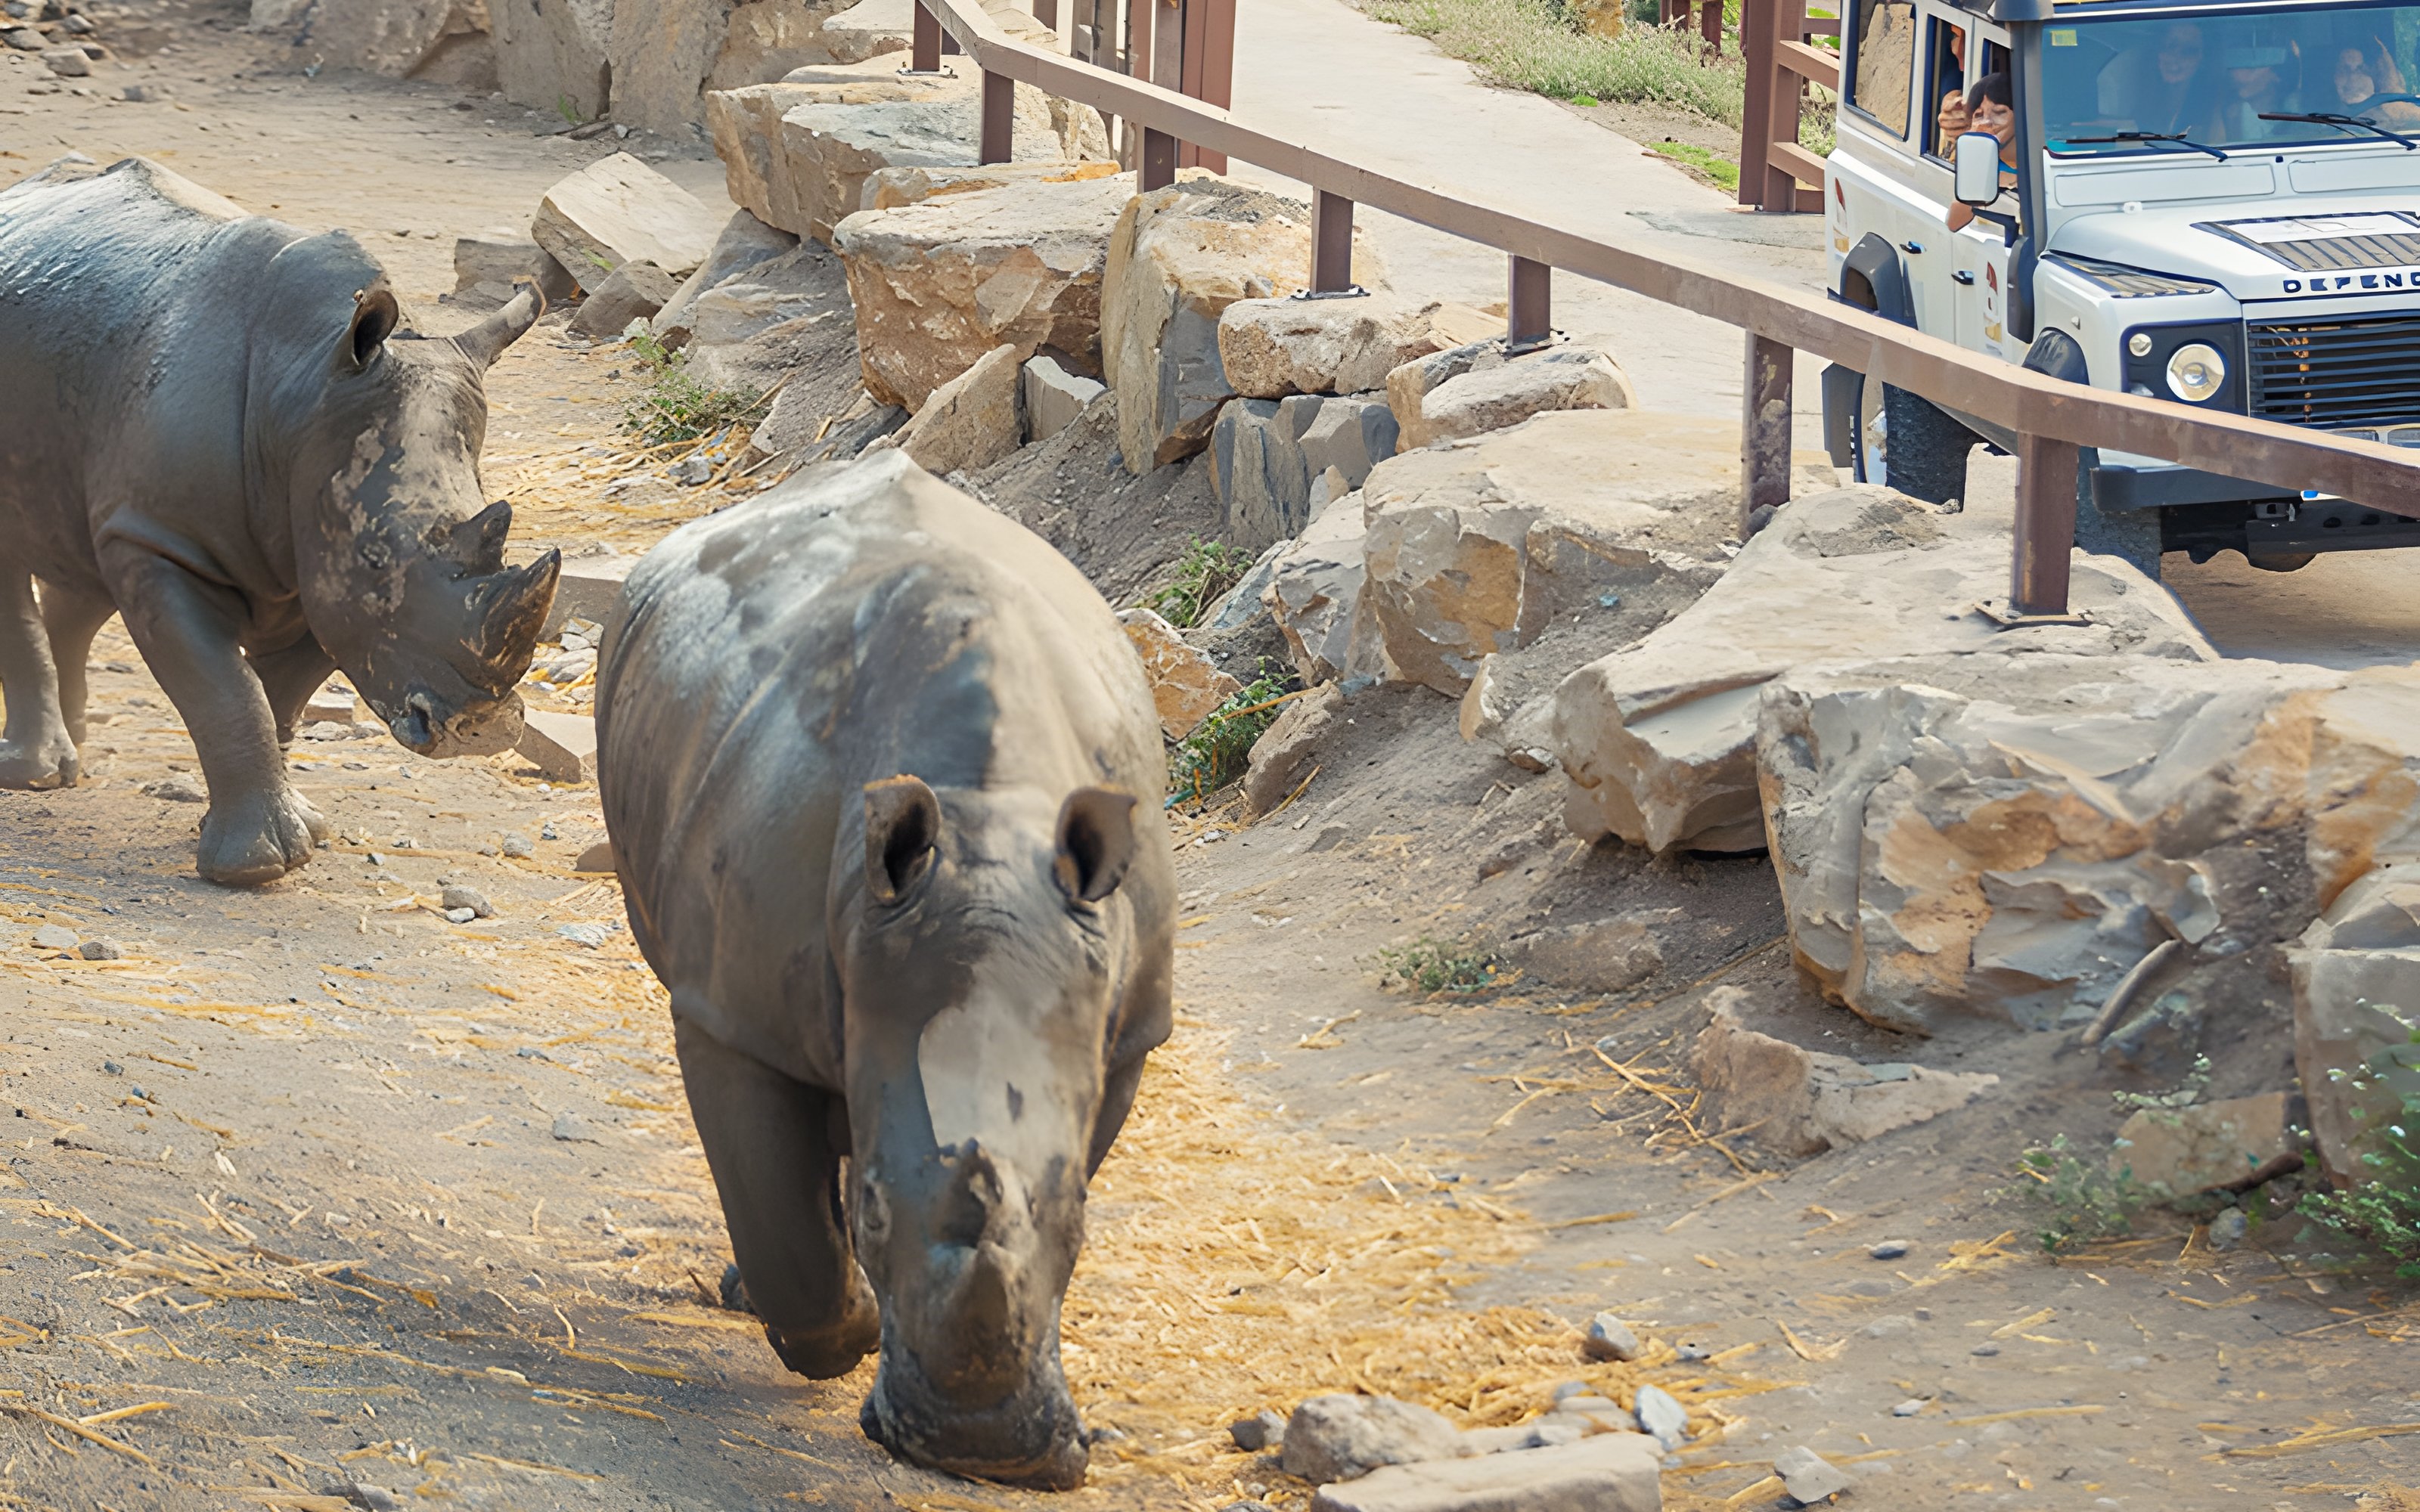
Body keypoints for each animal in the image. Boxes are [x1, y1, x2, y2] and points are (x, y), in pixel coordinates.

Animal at [0, 156, 556, 885]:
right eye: (376, 560)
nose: (482, 731)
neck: (301, 391)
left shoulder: (315, 566)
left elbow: (276, 701)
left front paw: (293, 832)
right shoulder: (167, 542)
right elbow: (227, 693)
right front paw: (252, 871)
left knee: (78, 556)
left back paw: (75, 758)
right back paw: (33, 777)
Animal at [596, 452, 1174, 1488]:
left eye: (1081, 1221)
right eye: (870, 1213)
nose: (977, 1452)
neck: (991, 820)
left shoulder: (1129, 1025)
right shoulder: (728, 1011)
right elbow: (781, 1221)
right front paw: (844, 1327)